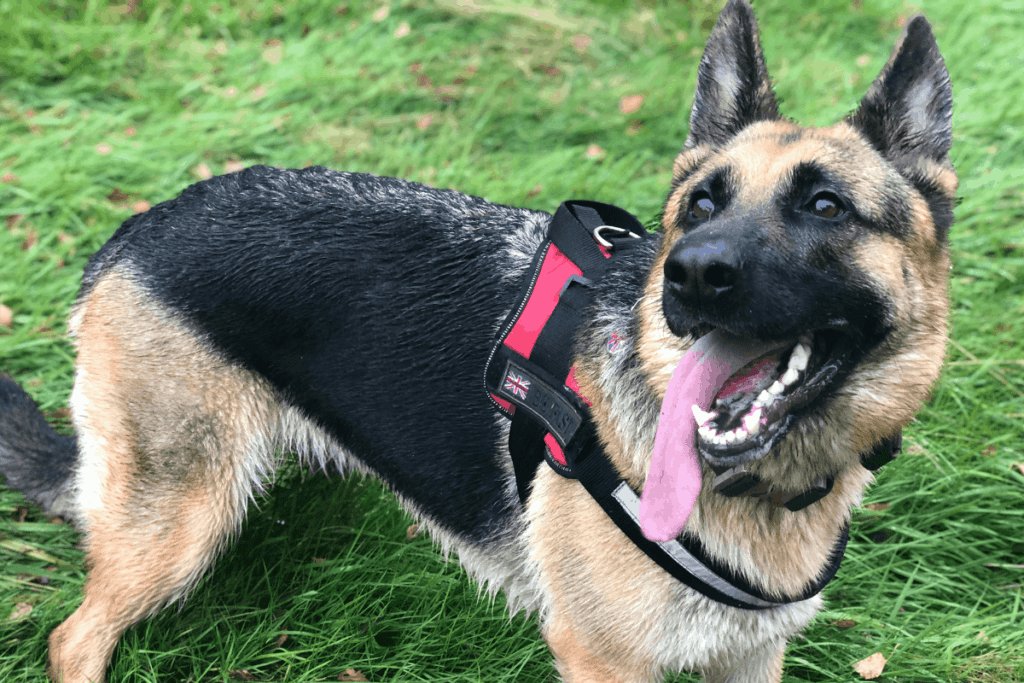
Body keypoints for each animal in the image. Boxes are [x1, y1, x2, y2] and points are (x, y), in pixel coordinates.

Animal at [2, 2, 958, 679]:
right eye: (701, 204)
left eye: (826, 206)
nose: (688, 276)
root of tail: (133, 232)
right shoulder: (604, 661)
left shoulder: (749, 657)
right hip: (177, 523)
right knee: (75, 638)